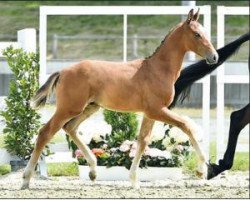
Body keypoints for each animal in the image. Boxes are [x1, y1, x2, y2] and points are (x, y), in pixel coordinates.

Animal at [21, 8, 217, 189]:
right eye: (197, 34)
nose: (214, 56)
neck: (157, 69)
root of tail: (62, 71)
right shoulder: (157, 110)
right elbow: (187, 126)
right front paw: (202, 170)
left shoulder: (150, 113)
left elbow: (142, 141)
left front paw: (134, 180)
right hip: (68, 108)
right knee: (45, 132)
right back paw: (26, 179)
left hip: (90, 107)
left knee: (70, 128)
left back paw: (93, 169)